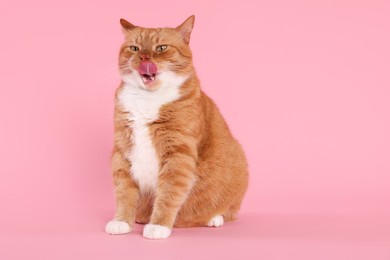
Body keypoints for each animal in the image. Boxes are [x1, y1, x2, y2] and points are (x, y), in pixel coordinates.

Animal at [105, 14, 248, 240]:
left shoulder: (178, 154)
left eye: (161, 48)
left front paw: (159, 225)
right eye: (135, 48)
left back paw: (214, 218)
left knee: (227, 210)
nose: (145, 58)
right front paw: (121, 221)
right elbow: (123, 191)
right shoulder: (122, 150)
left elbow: (169, 192)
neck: (148, 98)